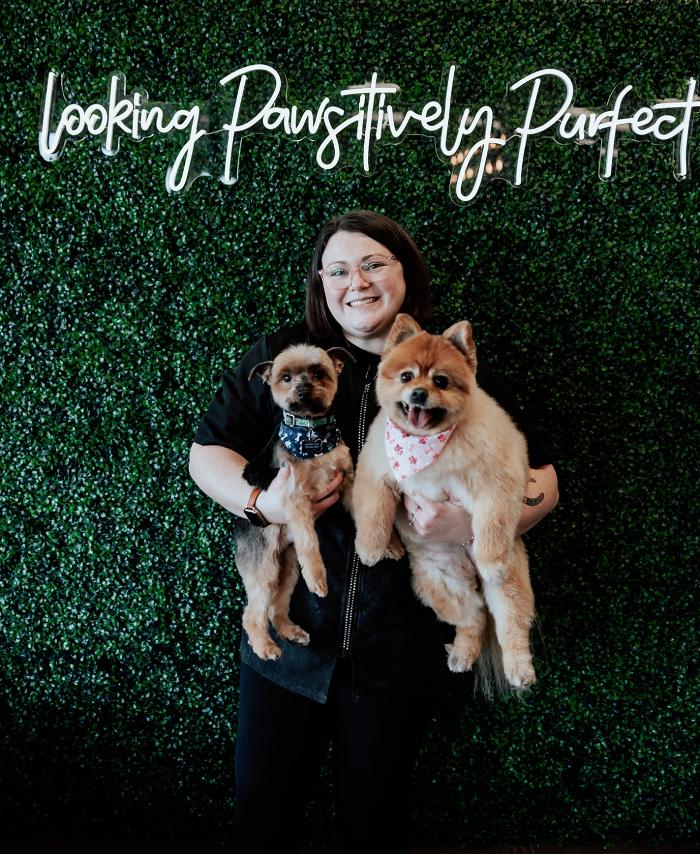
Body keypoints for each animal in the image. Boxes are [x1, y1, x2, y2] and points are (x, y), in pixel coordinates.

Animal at [352, 314, 540, 696]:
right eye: (406, 376)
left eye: (440, 380)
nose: (419, 393)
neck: (425, 445)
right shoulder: (377, 469)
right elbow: (374, 512)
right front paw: (371, 548)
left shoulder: (496, 479)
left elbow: (493, 521)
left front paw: (491, 558)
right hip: (441, 583)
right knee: (474, 616)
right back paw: (463, 654)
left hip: (510, 586)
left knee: (509, 624)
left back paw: (519, 669)